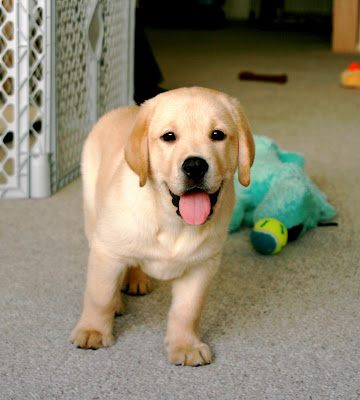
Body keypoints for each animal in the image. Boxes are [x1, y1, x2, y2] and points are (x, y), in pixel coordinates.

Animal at [70, 86, 255, 366]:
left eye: (217, 135)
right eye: (169, 137)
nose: (195, 166)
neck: (173, 222)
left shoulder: (201, 265)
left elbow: (187, 310)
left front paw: (185, 345)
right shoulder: (106, 249)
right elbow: (99, 294)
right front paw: (93, 330)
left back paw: (136, 280)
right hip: (92, 216)